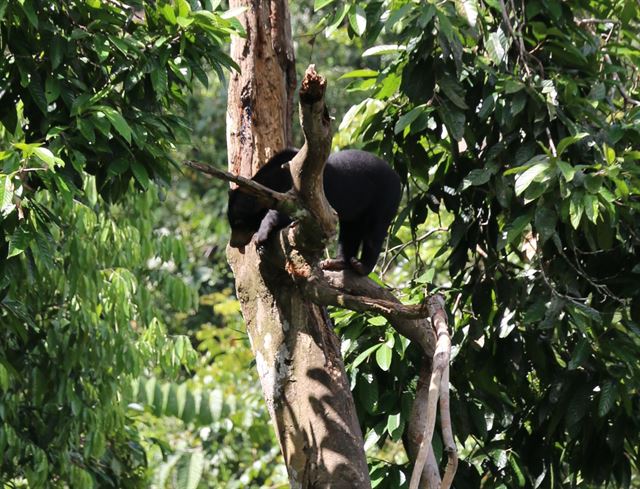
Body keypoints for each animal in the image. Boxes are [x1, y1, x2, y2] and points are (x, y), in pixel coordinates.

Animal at [229, 149, 400, 274]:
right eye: (232, 223)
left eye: (238, 223)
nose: (233, 243)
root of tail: (397, 176)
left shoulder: (302, 190)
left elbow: (287, 210)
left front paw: (261, 235)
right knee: (350, 232)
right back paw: (336, 262)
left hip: (385, 197)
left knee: (374, 232)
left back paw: (361, 266)